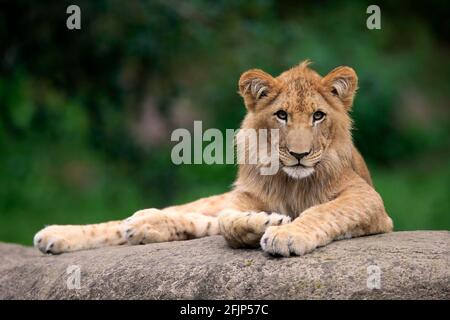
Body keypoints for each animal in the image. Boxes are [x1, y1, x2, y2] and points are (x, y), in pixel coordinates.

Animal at [34, 61, 394, 258]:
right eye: (281, 115)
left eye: (319, 116)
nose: (299, 155)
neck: (291, 183)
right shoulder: (243, 198)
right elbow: (228, 221)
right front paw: (267, 222)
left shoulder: (372, 203)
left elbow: (324, 211)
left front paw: (286, 233)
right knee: (194, 215)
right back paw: (60, 233)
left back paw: (142, 226)